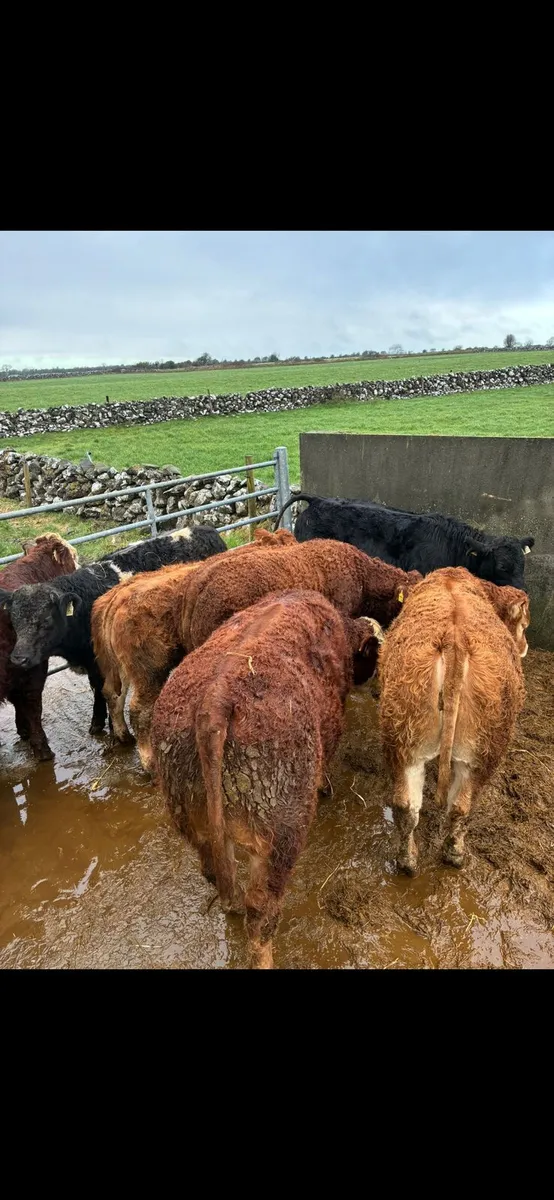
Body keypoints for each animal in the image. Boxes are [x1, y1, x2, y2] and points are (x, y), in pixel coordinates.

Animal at [91, 527, 297, 760]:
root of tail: (116, 597)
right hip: (149, 673)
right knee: (140, 710)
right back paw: (149, 760)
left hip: (121, 670)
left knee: (112, 694)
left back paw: (123, 736)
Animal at [150, 589, 385, 969]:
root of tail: (216, 700)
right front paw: (325, 786)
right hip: (279, 839)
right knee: (260, 912)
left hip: (192, 820)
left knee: (216, 872)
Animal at [378, 566, 529, 876]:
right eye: (524, 624)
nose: (525, 647)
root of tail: (454, 640)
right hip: (485, 754)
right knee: (462, 805)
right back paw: (455, 854)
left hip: (403, 741)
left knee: (407, 807)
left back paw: (408, 860)